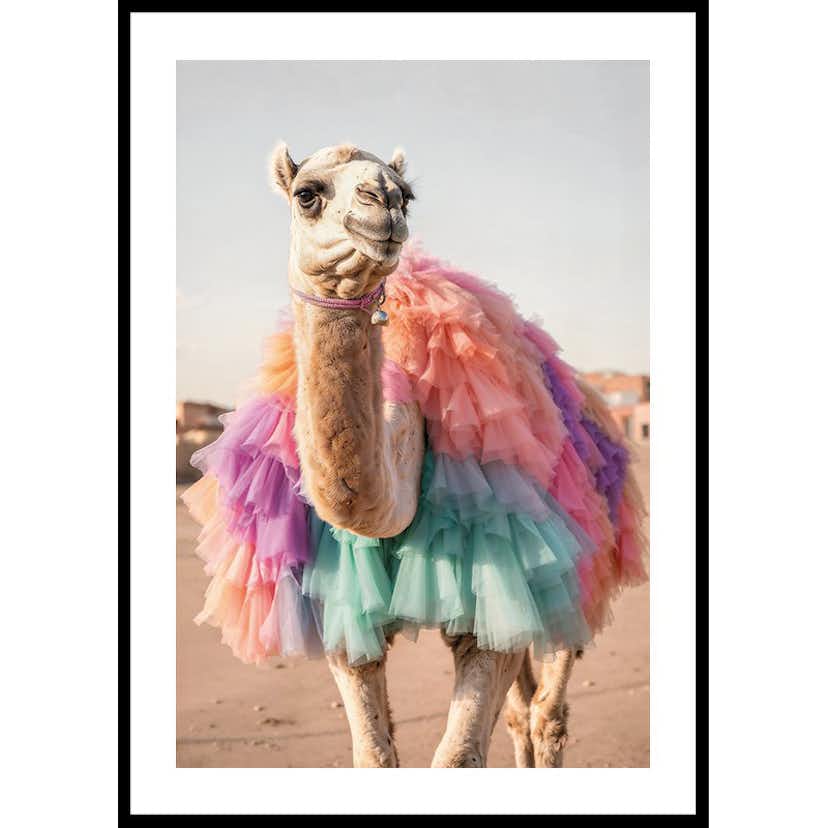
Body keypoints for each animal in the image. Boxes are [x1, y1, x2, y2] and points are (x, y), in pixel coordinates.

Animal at [182, 142, 647, 768]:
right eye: (307, 194)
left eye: (408, 192)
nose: (384, 200)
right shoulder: (345, 619)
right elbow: (375, 755)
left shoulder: (495, 601)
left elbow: (457, 756)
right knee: (523, 710)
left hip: (575, 567)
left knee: (547, 711)